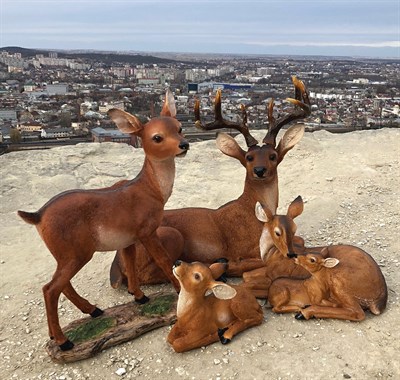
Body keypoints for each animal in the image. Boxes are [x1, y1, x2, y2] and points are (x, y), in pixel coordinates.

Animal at [17, 91, 189, 350]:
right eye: (157, 137)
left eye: (179, 127)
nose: (184, 145)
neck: (150, 190)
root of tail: (38, 216)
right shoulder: (147, 231)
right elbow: (164, 260)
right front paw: (179, 291)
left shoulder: (128, 239)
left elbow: (130, 264)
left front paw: (139, 297)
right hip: (76, 254)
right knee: (50, 289)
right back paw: (64, 341)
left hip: (64, 255)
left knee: (61, 284)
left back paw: (91, 312)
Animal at [110, 75, 312, 298]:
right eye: (249, 157)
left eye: (273, 155)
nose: (260, 170)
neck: (251, 211)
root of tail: (116, 267)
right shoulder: (243, 246)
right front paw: (233, 265)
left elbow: (299, 241)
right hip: (168, 235)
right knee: (153, 273)